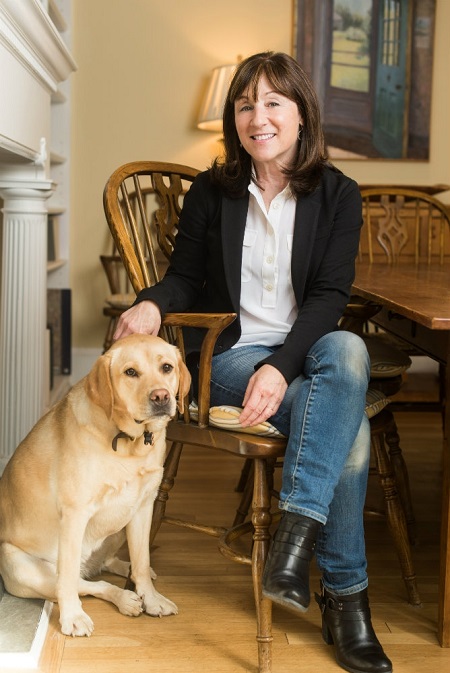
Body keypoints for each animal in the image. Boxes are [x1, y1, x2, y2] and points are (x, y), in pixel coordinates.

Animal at [0, 333, 191, 637]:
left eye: (167, 368)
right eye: (130, 372)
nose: (161, 396)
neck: (129, 442)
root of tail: (87, 565)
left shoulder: (143, 508)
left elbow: (142, 560)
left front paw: (151, 598)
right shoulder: (75, 514)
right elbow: (67, 582)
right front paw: (72, 617)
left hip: (120, 527)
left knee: (107, 566)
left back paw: (127, 574)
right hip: (22, 566)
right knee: (86, 584)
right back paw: (123, 598)